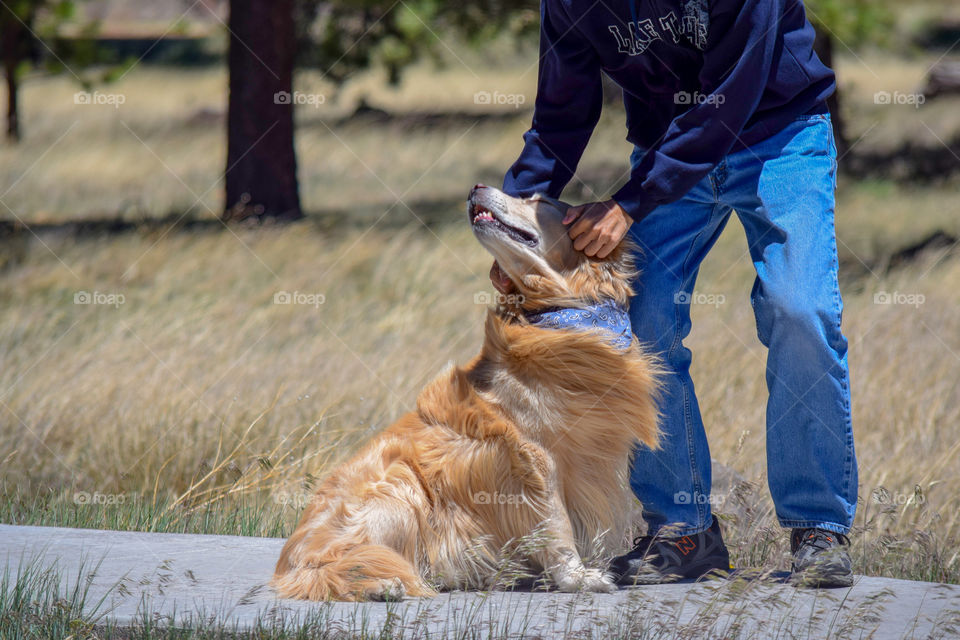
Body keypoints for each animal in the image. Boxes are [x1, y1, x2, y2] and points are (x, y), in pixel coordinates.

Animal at [270, 184, 660, 600]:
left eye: (543, 201)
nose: (477, 188)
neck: (561, 315)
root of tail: (287, 563)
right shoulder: (535, 459)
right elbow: (557, 525)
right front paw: (578, 576)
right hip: (400, 486)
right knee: (337, 567)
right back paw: (384, 584)